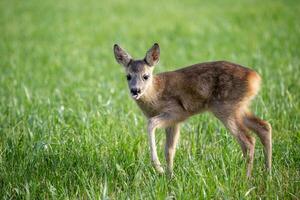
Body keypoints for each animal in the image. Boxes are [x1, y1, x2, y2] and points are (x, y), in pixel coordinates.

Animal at [112, 43, 272, 177]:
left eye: (146, 76)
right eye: (128, 76)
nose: (135, 90)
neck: (155, 94)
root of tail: (255, 79)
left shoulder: (177, 111)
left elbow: (151, 124)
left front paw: (159, 169)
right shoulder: (174, 123)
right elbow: (169, 150)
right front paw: (170, 177)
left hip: (226, 107)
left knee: (248, 141)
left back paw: (246, 178)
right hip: (239, 108)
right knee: (264, 126)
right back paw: (267, 173)